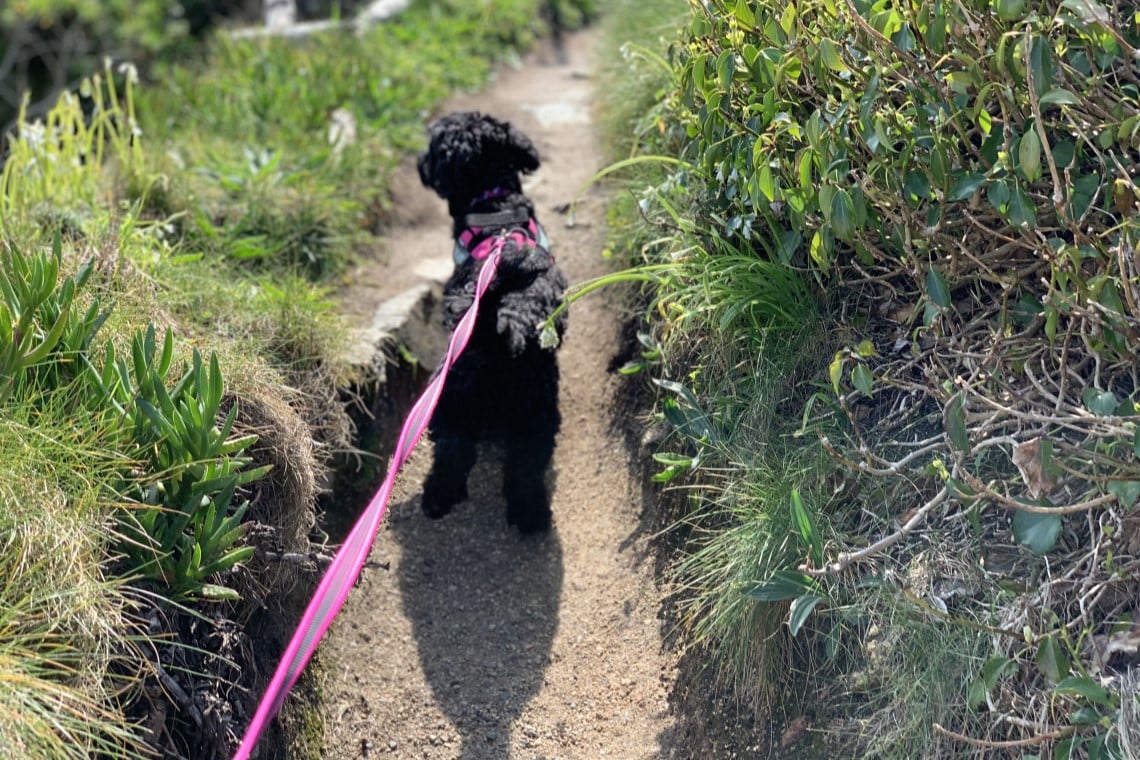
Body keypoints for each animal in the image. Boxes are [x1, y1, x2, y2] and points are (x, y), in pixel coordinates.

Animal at [415, 111, 568, 533]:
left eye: (432, 148)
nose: (418, 162)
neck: (494, 207)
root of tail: (503, 330)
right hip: (529, 405)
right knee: (519, 462)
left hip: (453, 394)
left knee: (457, 452)